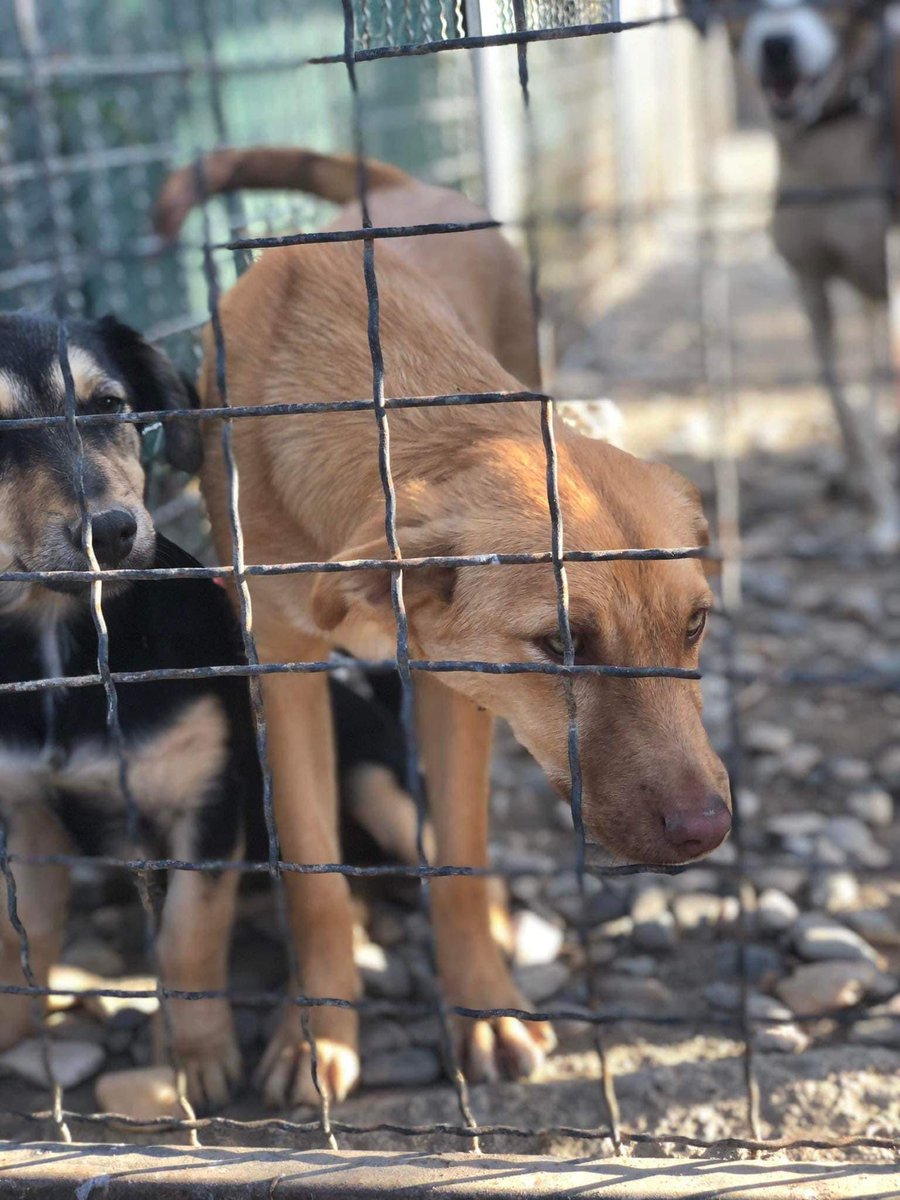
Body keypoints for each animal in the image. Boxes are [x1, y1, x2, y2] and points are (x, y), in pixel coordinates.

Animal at [157, 147, 734, 1104]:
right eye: (562, 645)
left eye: (694, 625)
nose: (708, 830)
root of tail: (400, 186)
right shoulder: (284, 671)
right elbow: (315, 876)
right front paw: (319, 1033)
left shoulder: (456, 688)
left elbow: (459, 855)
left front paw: (484, 1010)